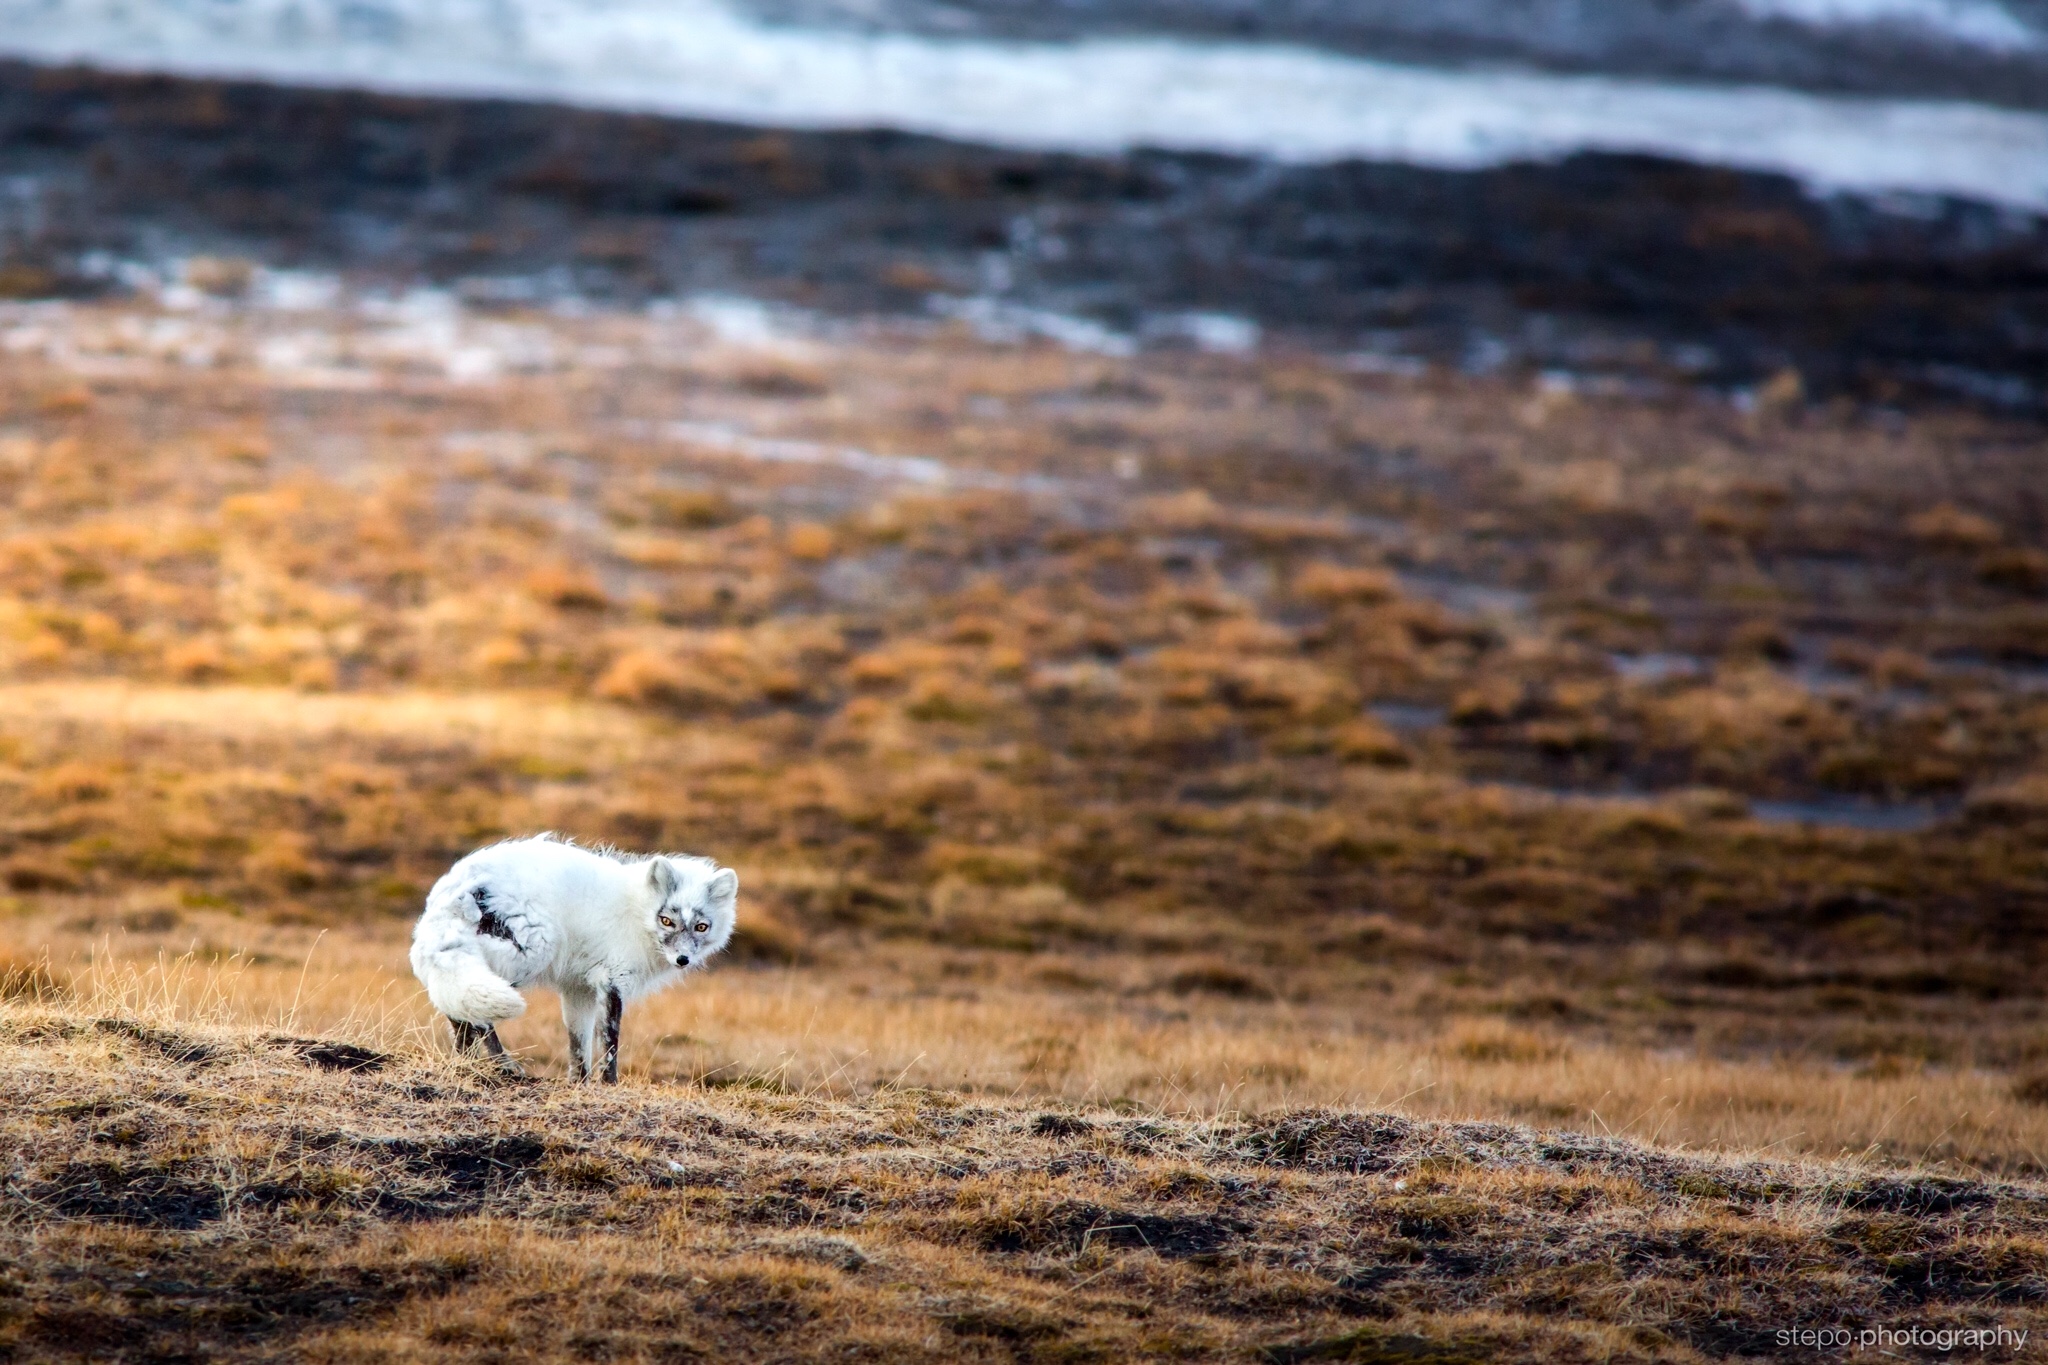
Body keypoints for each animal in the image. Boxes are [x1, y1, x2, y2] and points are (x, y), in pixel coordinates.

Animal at [409, 835, 738, 1082]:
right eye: (667, 921)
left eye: (701, 926)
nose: (682, 959)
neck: (638, 911)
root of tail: (455, 890)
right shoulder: (612, 981)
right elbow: (609, 1044)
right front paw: (609, 1085)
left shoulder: (579, 989)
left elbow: (578, 1046)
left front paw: (580, 1084)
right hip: (529, 955)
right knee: (477, 1018)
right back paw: (504, 1066)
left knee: (456, 1010)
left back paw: (463, 1063)